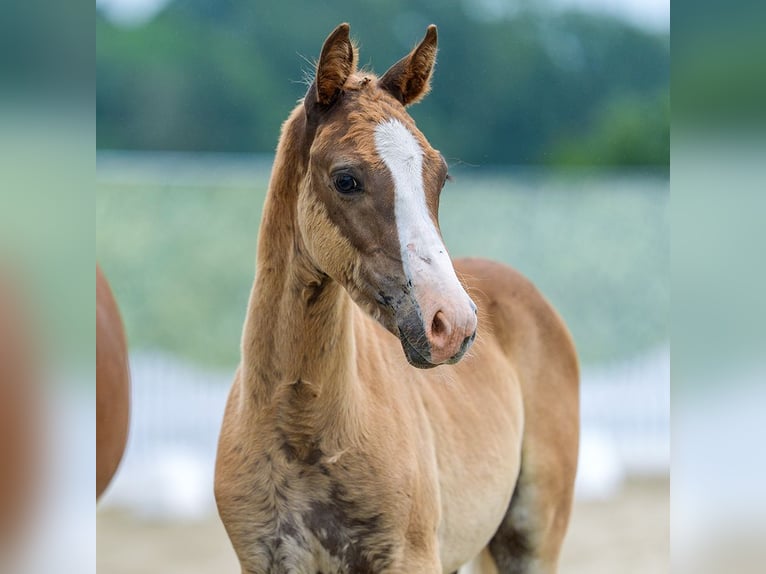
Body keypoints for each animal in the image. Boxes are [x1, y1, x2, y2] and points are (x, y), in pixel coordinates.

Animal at [215, 23, 579, 573]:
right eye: (346, 179)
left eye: (441, 176)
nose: (453, 324)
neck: (304, 432)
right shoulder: (263, 559)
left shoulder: (410, 556)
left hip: (532, 535)